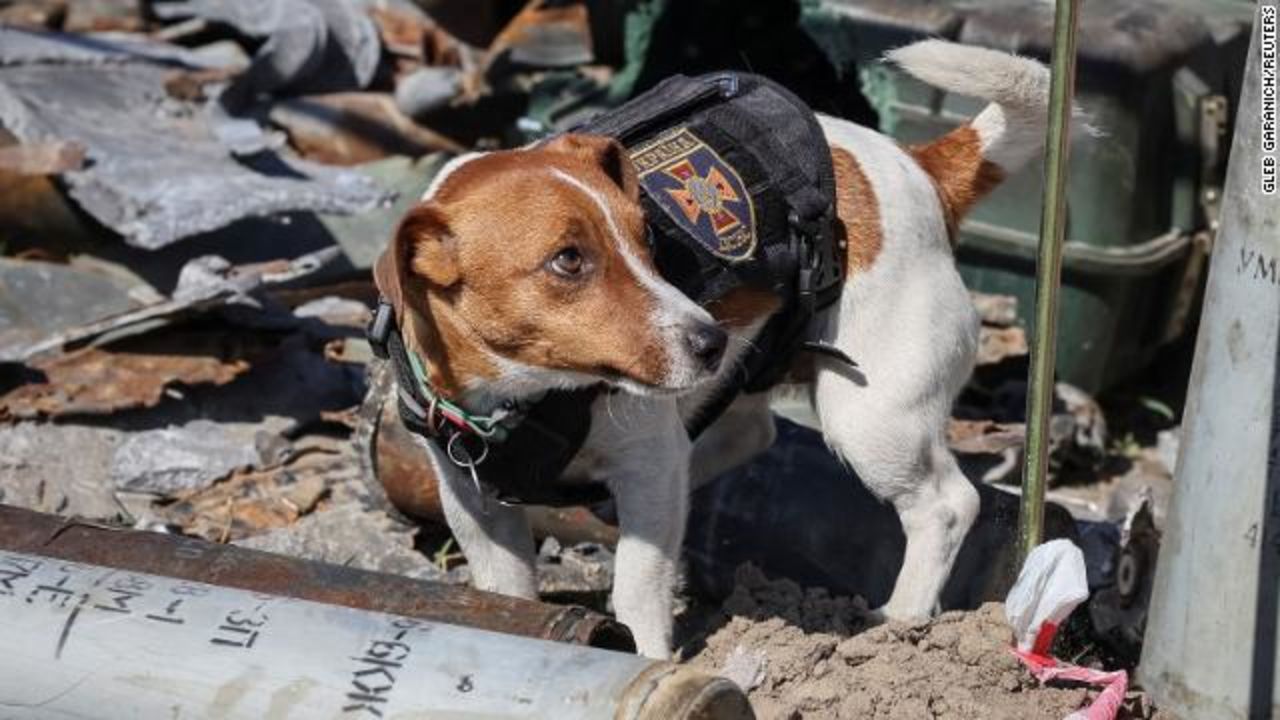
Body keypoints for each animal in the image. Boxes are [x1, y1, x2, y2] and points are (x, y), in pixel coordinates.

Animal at [376, 40, 1059, 655]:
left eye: (648, 239)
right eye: (568, 260)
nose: (710, 340)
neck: (519, 394)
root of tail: (920, 170)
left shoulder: (648, 460)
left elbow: (638, 588)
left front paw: (646, 660)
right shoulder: (474, 502)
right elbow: (506, 590)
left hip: (873, 417)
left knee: (947, 505)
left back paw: (903, 622)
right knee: (747, 434)